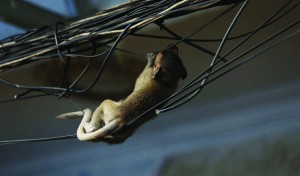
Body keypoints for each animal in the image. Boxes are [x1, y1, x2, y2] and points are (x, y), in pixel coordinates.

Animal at [57, 45, 186, 143]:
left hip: (110, 109)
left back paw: (90, 127)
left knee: (104, 103)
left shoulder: (148, 73)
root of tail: (122, 119)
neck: (166, 83)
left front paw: (151, 57)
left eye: (162, 55)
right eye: (166, 54)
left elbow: (146, 68)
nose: (159, 51)